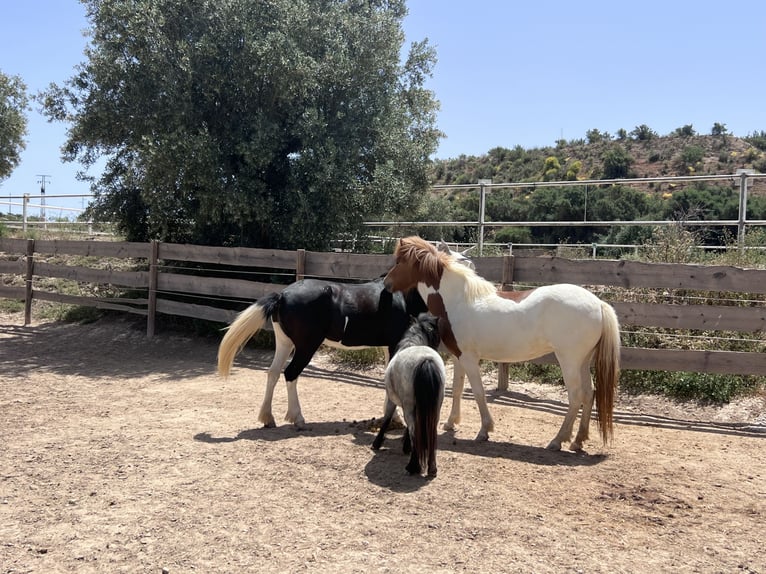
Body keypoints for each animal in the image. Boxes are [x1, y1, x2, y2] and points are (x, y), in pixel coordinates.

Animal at [217, 277, 427, 429]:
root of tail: (282, 295)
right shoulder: (393, 343)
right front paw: (396, 419)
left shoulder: (386, 346)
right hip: (306, 347)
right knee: (290, 374)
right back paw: (298, 419)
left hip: (284, 343)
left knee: (273, 373)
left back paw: (268, 418)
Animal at [372, 313, 446, 477]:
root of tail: (426, 361)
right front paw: (406, 447)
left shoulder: (392, 401)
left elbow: (387, 419)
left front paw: (377, 443)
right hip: (435, 409)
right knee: (431, 433)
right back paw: (432, 468)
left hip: (409, 407)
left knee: (414, 432)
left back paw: (413, 466)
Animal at [383, 235, 621, 451]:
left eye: (399, 261)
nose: (386, 284)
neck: (457, 300)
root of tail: (598, 303)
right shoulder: (459, 356)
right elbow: (457, 388)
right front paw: (451, 423)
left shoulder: (470, 359)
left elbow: (478, 392)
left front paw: (484, 430)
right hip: (583, 361)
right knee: (589, 394)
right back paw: (578, 440)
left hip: (568, 360)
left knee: (576, 396)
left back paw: (557, 440)